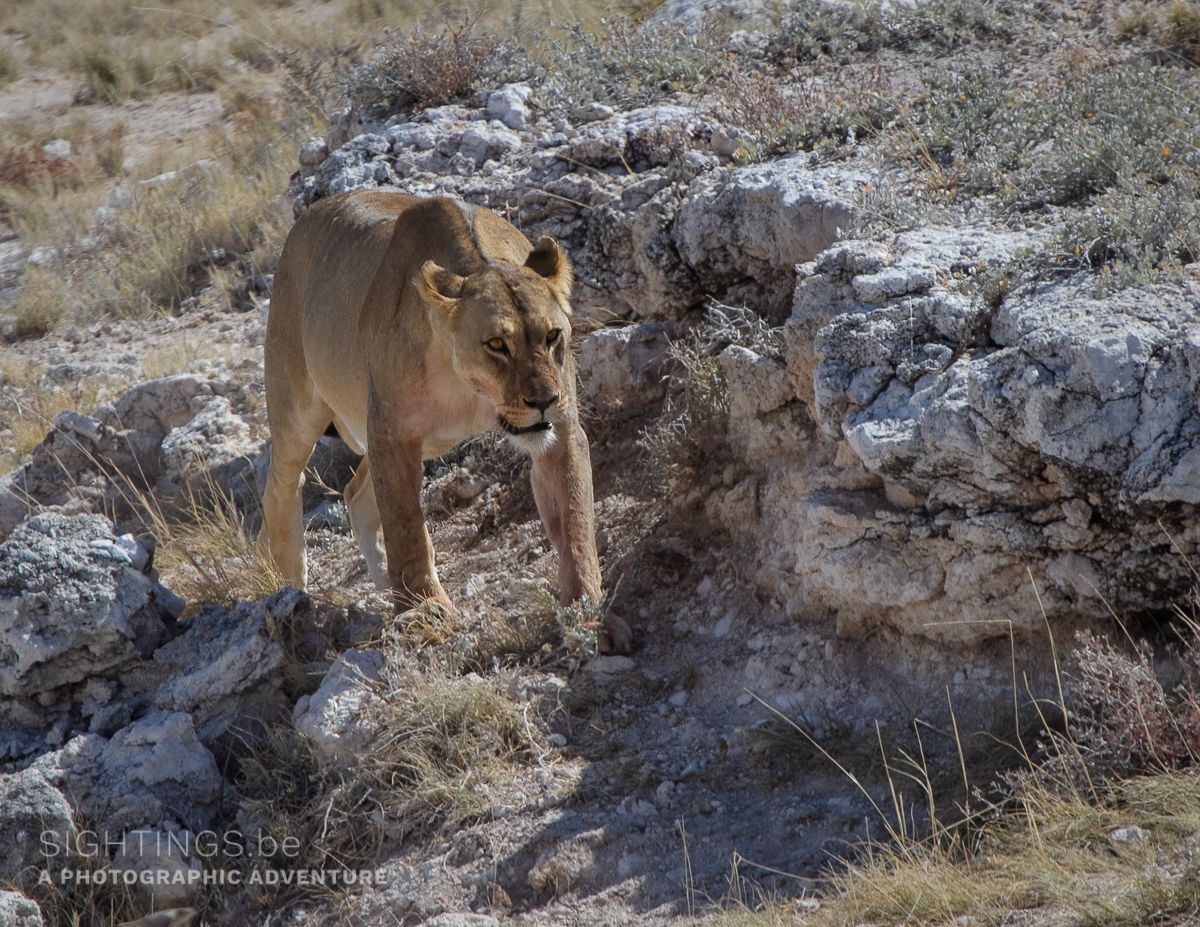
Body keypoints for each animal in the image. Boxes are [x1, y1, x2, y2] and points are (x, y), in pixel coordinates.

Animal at [259, 190, 632, 653]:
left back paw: (381, 581)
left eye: (551, 336)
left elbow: (577, 522)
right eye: (497, 344)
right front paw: (424, 609)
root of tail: (303, 220)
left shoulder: (561, 433)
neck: (468, 387)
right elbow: (407, 527)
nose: (544, 401)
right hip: (296, 409)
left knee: (355, 492)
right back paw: (290, 589)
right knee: (279, 489)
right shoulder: (392, 433)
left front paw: (589, 616)